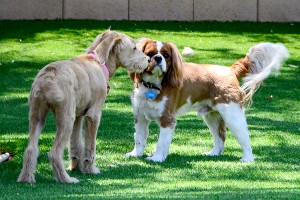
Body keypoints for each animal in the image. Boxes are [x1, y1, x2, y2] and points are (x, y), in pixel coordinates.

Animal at [18, 30, 149, 183]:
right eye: (134, 48)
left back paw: (26, 178)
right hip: (65, 118)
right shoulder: (94, 115)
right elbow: (90, 146)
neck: (99, 63)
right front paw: (90, 170)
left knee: (30, 149)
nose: (148, 60)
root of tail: (47, 77)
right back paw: (66, 179)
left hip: (37, 115)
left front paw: (77, 167)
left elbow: (76, 144)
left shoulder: (78, 116)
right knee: (54, 153)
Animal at [126, 39, 288, 162]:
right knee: (220, 137)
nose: (158, 58)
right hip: (212, 116)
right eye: (150, 54)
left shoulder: (167, 119)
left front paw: (157, 158)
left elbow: (161, 142)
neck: (152, 85)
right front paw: (136, 154)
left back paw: (247, 158)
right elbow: (139, 137)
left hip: (232, 114)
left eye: (166, 55)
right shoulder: (139, 117)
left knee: (244, 136)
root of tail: (230, 69)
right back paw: (213, 153)